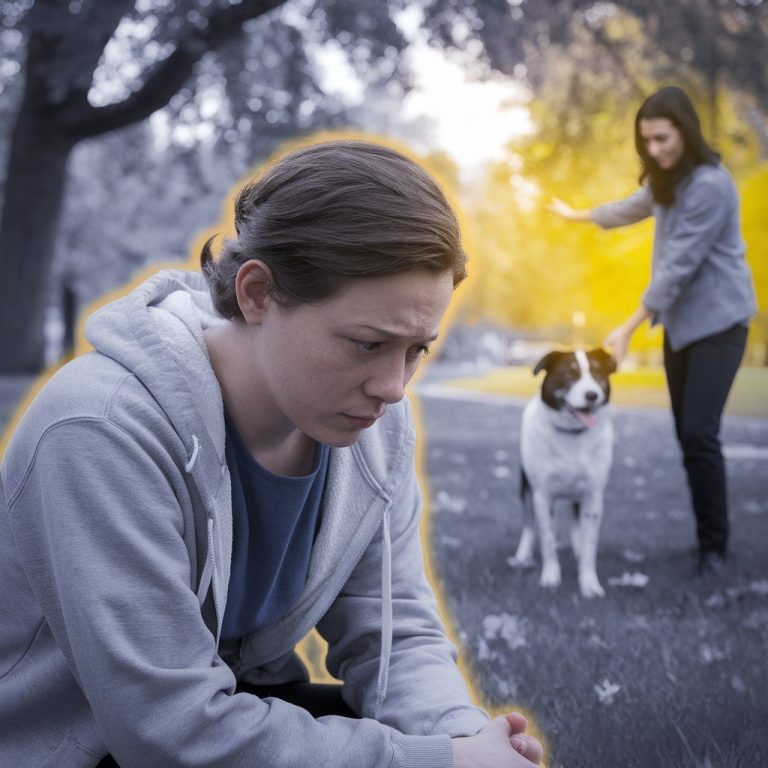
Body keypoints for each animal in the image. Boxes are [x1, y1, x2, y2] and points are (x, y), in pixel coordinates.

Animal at [512, 350, 616, 600]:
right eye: (569, 374)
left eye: (598, 373)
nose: (592, 395)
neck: (572, 435)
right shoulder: (542, 495)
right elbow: (548, 541)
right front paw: (550, 577)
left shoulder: (593, 496)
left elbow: (589, 546)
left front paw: (589, 583)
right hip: (526, 487)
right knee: (529, 522)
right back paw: (522, 555)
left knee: (575, 517)